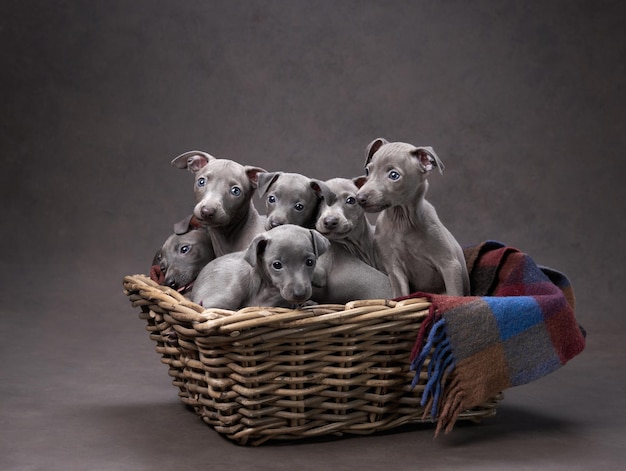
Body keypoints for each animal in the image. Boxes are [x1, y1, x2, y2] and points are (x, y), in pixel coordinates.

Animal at [356, 137, 468, 298]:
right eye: (367, 170)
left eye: (394, 175)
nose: (359, 198)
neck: (402, 221)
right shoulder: (394, 270)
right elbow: (400, 296)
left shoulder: (450, 265)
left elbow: (454, 295)